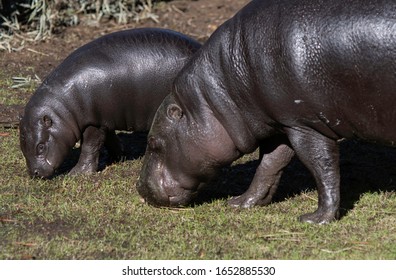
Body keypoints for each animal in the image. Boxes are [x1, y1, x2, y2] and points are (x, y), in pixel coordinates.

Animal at [19, 27, 201, 177]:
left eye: (41, 146)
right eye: (22, 145)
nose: (34, 173)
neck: (62, 109)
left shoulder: (94, 123)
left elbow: (89, 146)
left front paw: (77, 174)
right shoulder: (105, 119)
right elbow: (109, 140)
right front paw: (118, 156)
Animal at [138, 0, 396, 224]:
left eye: (153, 142)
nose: (139, 188)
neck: (220, 96)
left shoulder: (305, 124)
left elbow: (323, 167)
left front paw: (316, 219)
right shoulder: (282, 125)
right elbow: (269, 166)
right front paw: (241, 202)